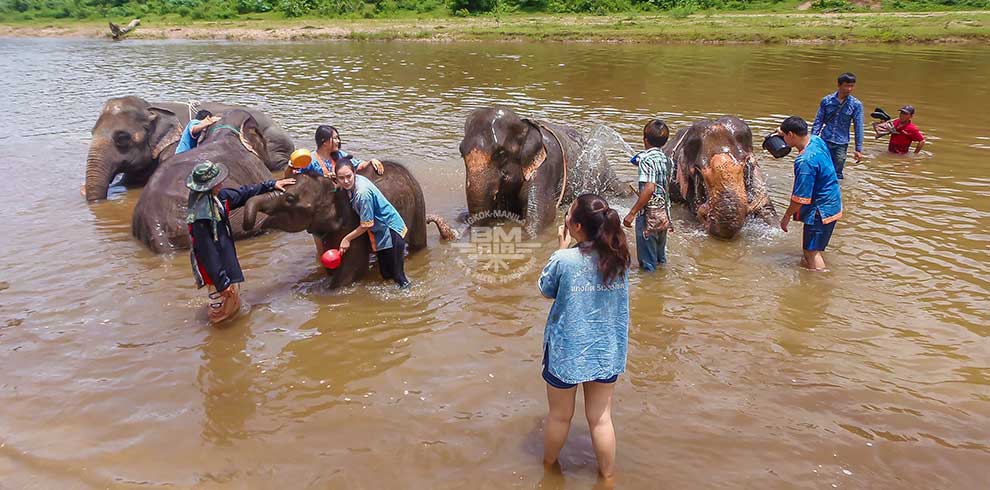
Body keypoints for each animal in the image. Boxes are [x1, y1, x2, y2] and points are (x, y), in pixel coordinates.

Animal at [242, 163, 460, 290]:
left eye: (290, 199)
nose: (251, 225)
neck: (333, 185)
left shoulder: (351, 221)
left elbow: (352, 266)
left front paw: (325, 290)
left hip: (417, 202)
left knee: (416, 243)